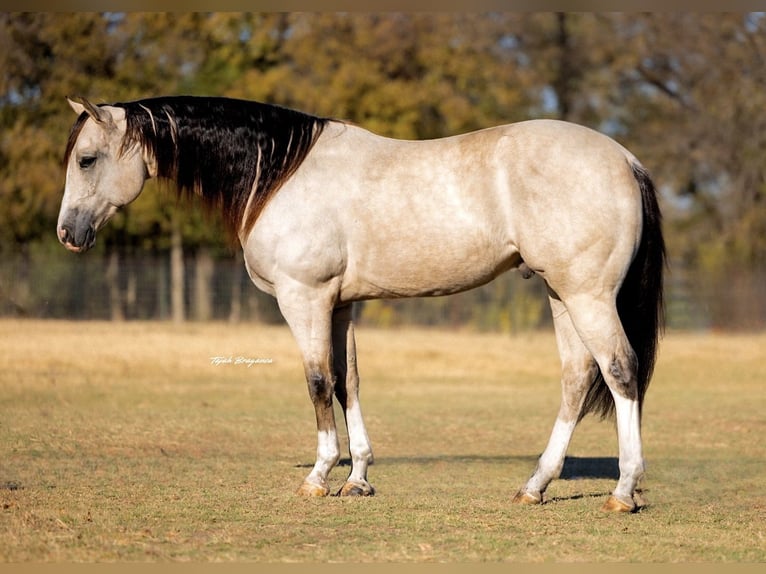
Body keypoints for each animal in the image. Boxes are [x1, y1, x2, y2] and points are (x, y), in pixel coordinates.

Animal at [58, 95, 664, 512]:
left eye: (86, 159)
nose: (68, 233)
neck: (281, 175)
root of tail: (626, 159)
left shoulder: (305, 298)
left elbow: (317, 381)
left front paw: (319, 477)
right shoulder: (341, 304)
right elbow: (347, 381)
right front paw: (357, 478)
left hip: (587, 296)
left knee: (620, 371)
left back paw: (623, 490)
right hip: (562, 294)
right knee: (577, 379)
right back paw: (535, 486)